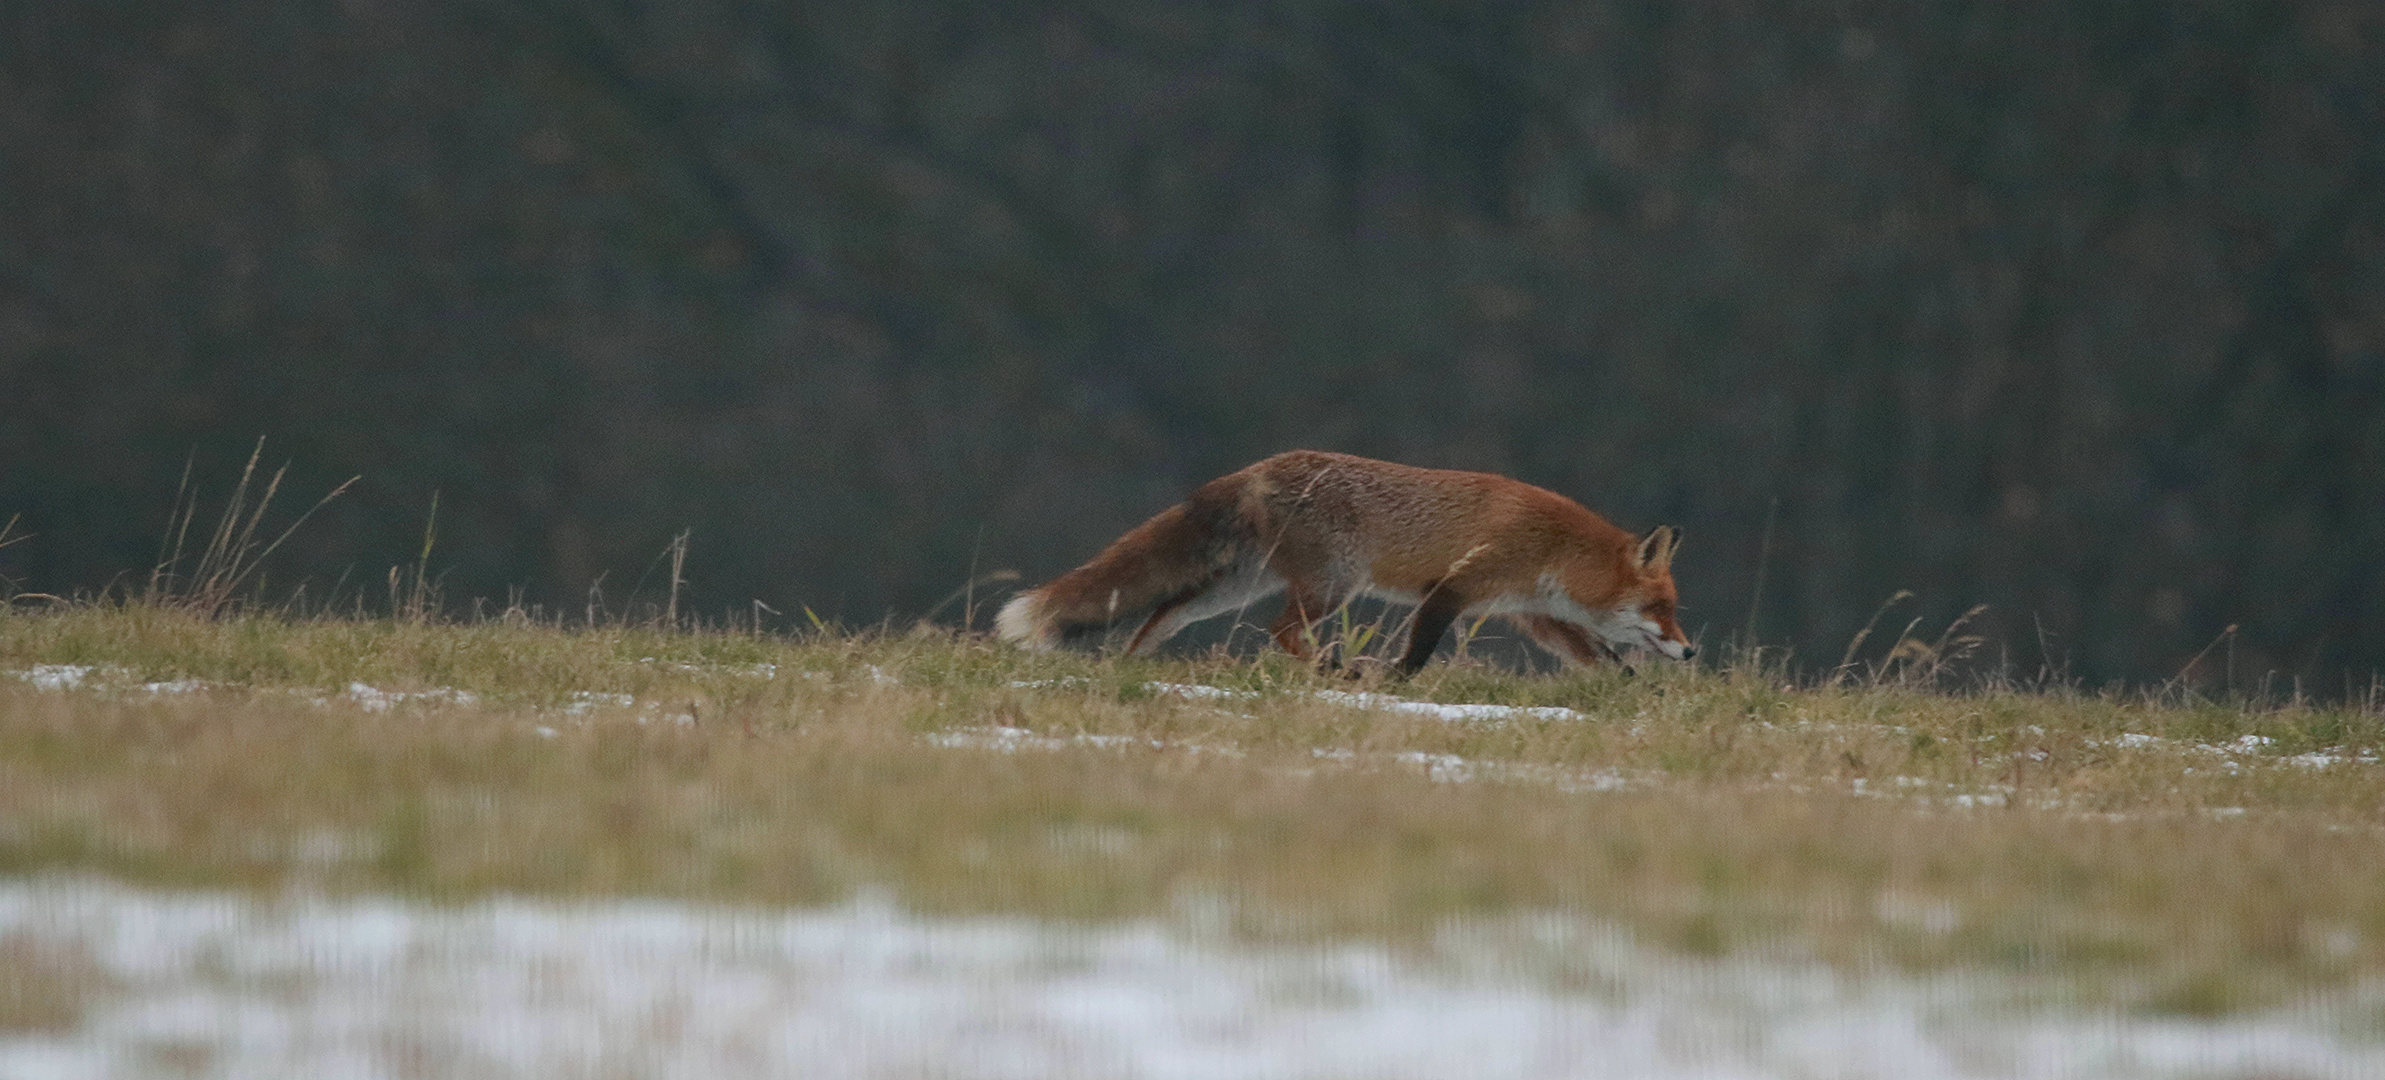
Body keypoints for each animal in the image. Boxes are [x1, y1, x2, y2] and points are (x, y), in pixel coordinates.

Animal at [992, 448, 1698, 672]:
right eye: (1661, 606)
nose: (1690, 651)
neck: (1554, 548)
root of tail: (1259, 467)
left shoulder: (1528, 612)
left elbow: (1601, 659)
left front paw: (1634, 692)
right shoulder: (1454, 588)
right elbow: (1418, 653)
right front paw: (1393, 683)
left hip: (1234, 589)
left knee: (1162, 615)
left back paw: (1128, 667)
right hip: (1335, 584)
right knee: (1281, 631)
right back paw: (1333, 670)